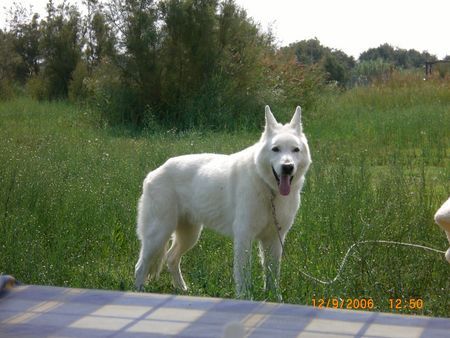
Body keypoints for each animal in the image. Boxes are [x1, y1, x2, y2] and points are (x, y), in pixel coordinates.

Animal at [135, 105, 312, 298]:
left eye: (295, 150)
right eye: (276, 149)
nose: (287, 167)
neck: (269, 189)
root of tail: (153, 173)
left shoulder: (274, 239)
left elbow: (272, 274)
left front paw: (274, 298)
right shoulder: (244, 237)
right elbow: (243, 274)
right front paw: (244, 298)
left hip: (189, 235)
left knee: (171, 258)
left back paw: (182, 289)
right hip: (158, 235)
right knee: (140, 267)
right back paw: (138, 291)